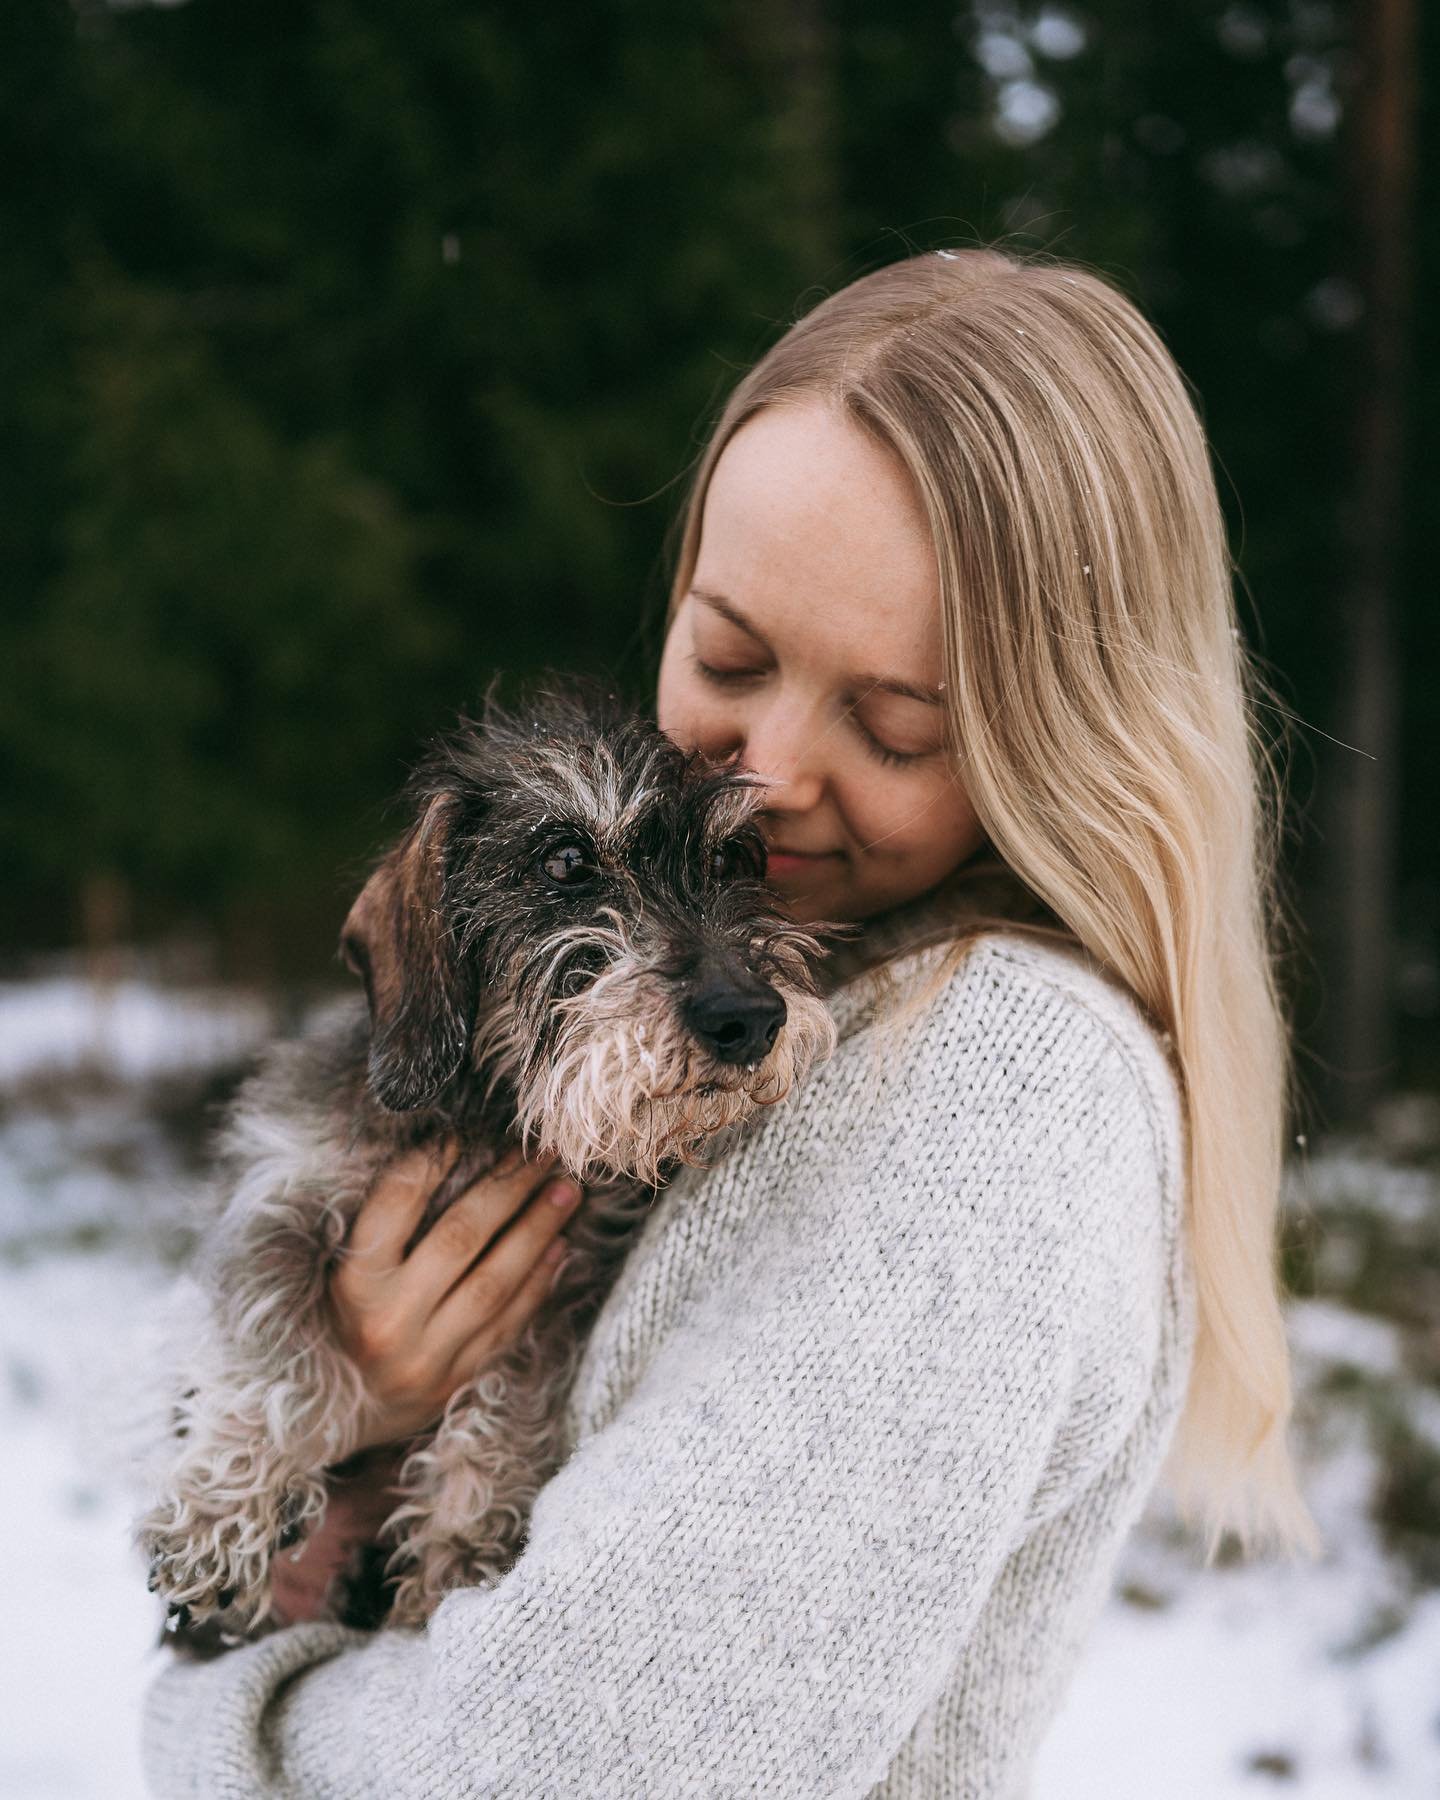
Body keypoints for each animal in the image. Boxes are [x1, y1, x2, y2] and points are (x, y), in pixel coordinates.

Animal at [137, 676, 831, 1648]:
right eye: (568, 860)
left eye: (737, 858)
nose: (751, 1018)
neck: (490, 1117)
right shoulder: (281, 1196)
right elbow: (280, 1357)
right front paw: (220, 1517)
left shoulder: (559, 1289)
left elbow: (502, 1413)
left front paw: (456, 1558)